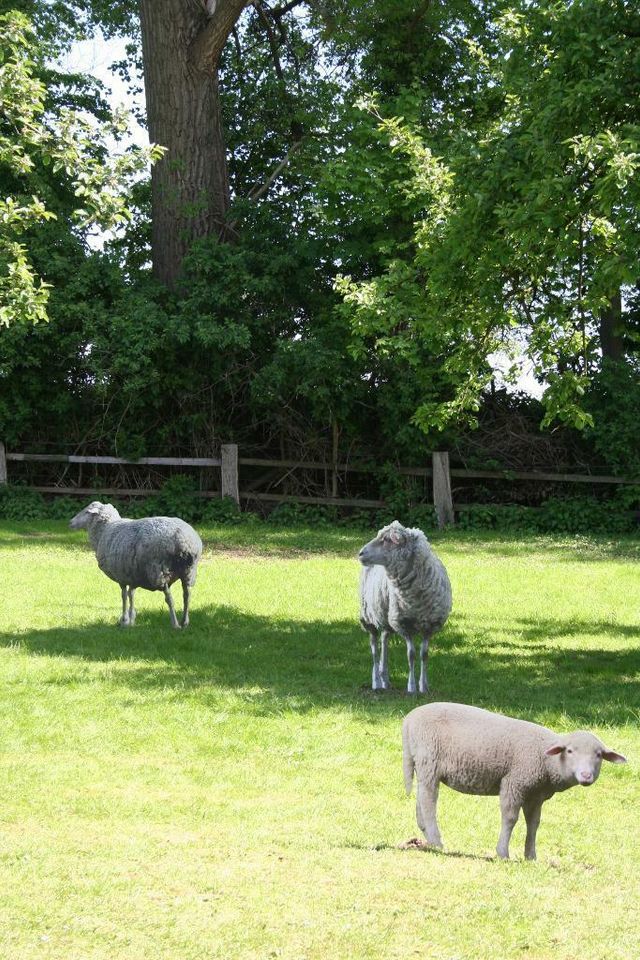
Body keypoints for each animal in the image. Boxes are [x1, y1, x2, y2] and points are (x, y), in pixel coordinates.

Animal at [69, 502, 202, 632]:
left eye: (87, 512)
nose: (70, 522)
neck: (105, 530)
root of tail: (184, 540)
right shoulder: (132, 575)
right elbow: (131, 594)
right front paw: (131, 619)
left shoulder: (121, 576)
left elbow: (124, 596)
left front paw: (124, 620)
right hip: (189, 571)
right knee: (187, 595)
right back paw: (185, 622)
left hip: (159, 572)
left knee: (169, 599)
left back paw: (175, 624)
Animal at [358, 520, 452, 692]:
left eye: (387, 540)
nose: (360, 553)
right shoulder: (404, 624)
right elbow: (411, 654)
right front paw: (412, 687)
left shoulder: (430, 625)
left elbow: (424, 654)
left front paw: (424, 686)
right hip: (368, 616)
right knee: (374, 648)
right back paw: (377, 682)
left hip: (386, 616)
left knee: (384, 640)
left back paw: (385, 678)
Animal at [402, 696, 628, 864]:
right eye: (570, 751)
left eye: (599, 755)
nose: (586, 776)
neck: (547, 761)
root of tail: (410, 718)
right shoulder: (514, 783)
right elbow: (510, 819)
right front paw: (503, 853)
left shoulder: (536, 795)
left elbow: (534, 823)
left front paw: (531, 857)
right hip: (430, 761)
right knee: (429, 801)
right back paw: (437, 842)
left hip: (423, 766)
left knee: (421, 800)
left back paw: (427, 838)